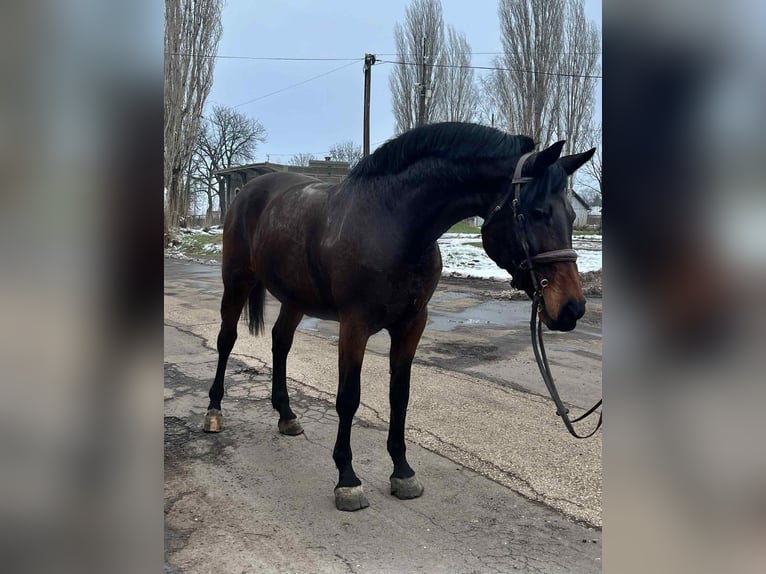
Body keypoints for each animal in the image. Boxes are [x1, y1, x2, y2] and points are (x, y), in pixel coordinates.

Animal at [203, 121, 595, 511]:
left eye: (570, 216)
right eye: (536, 212)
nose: (571, 308)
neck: (393, 227)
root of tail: (248, 188)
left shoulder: (411, 325)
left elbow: (400, 396)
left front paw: (402, 472)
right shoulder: (354, 325)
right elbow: (348, 397)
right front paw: (347, 479)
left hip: (295, 298)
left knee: (280, 342)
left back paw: (286, 416)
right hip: (237, 281)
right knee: (227, 340)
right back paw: (214, 412)